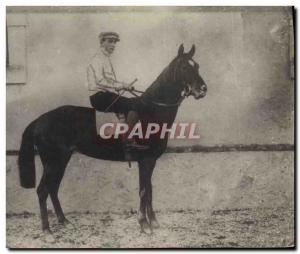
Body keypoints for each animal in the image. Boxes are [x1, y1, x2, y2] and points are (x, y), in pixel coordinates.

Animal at [17, 44, 207, 234]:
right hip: (53, 161)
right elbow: (144, 190)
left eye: (197, 66)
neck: (150, 111)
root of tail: (39, 120)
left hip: (61, 160)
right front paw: (144, 224)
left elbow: (150, 190)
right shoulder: (146, 160)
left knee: (53, 188)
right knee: (42, 190)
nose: (203, 89)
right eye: (184, 67)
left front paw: (153, 221)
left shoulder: (150, 160)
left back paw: (64, 221)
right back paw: (46, 230)